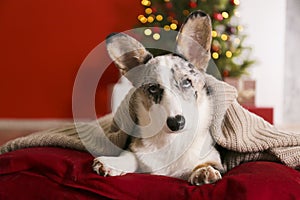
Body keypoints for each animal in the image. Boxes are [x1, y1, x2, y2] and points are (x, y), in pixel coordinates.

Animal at [93, 10, 223, 186]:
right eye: (153, 88)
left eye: (187, 82)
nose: (176, 123)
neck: (170, 141)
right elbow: (131, 156)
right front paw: (112, 164)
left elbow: (201, 164)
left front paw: (202, 171)